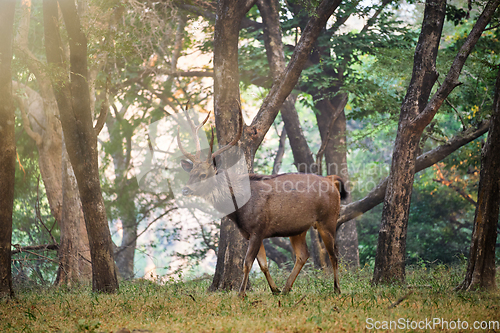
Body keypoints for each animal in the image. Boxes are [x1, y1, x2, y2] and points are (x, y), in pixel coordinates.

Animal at [178, 104, 346, 296]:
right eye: (190, 174)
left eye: (203, 175)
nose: (185, 190)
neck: (240, 209)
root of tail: (331, 181)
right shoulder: (250, 233)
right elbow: (263, 264)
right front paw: (275, 290)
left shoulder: (258, 228)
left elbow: (247, 263)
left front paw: (241, 294)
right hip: (298, 228)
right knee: (303, 254)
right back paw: (287, 288)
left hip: (328, 219)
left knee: (334, 254)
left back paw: (337, 288)